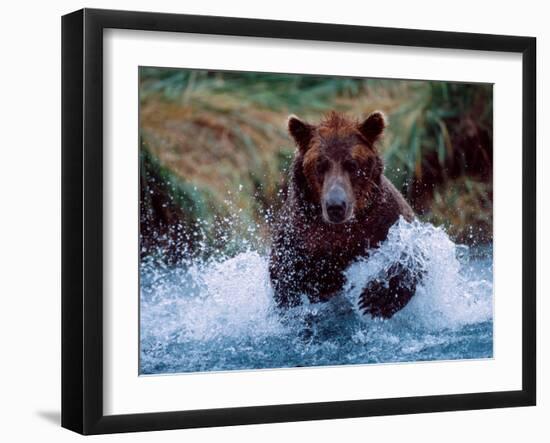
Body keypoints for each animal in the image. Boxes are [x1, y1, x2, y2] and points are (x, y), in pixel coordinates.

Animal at [270, 111, 422, 320]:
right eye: (320, 165)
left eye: (352, 164)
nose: (336, 205)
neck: (342, 229)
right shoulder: (298, 235)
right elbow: (284, 274)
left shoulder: (385, 219)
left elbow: (411, 252)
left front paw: (374, 299)